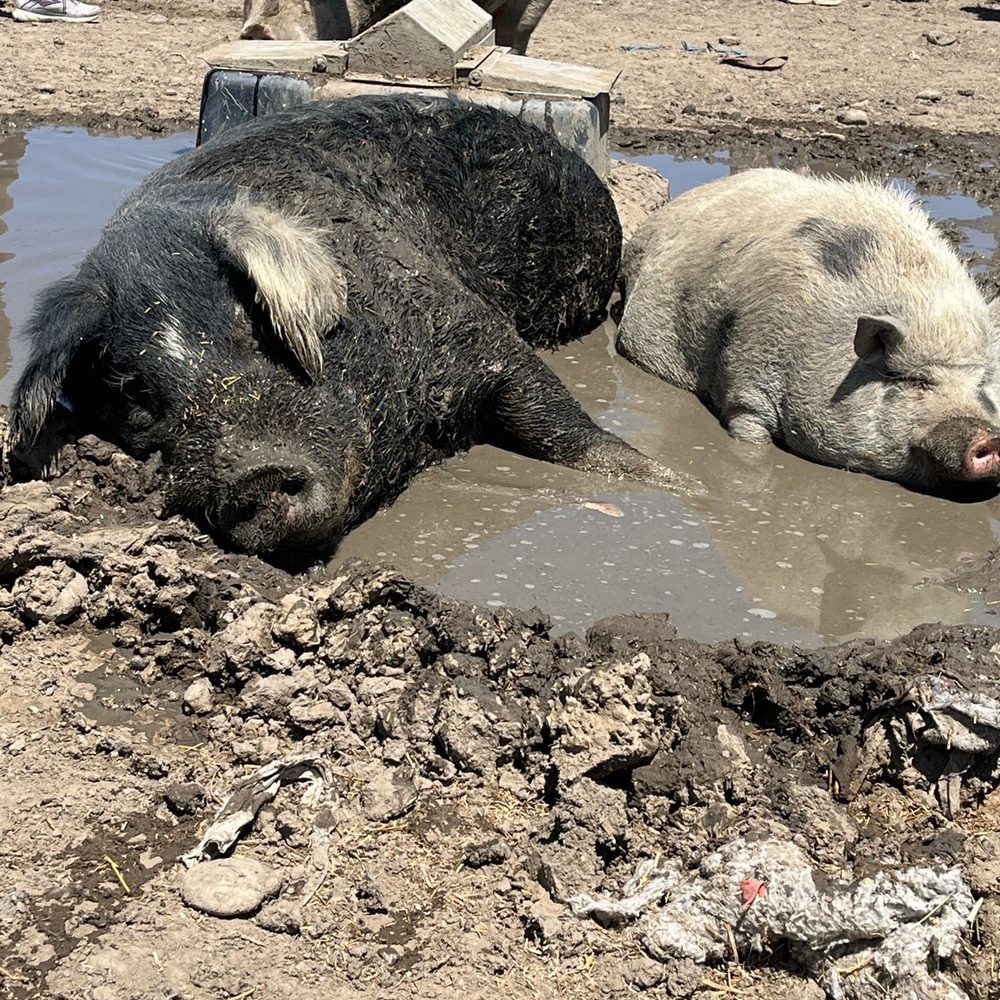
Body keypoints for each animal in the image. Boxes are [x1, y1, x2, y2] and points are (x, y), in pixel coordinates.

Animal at [7, 95, 685, 562]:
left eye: (255, 327)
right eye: (135, 395)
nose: (257, 475)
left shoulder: (470, 325)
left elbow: (552, 415)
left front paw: (671, 484)